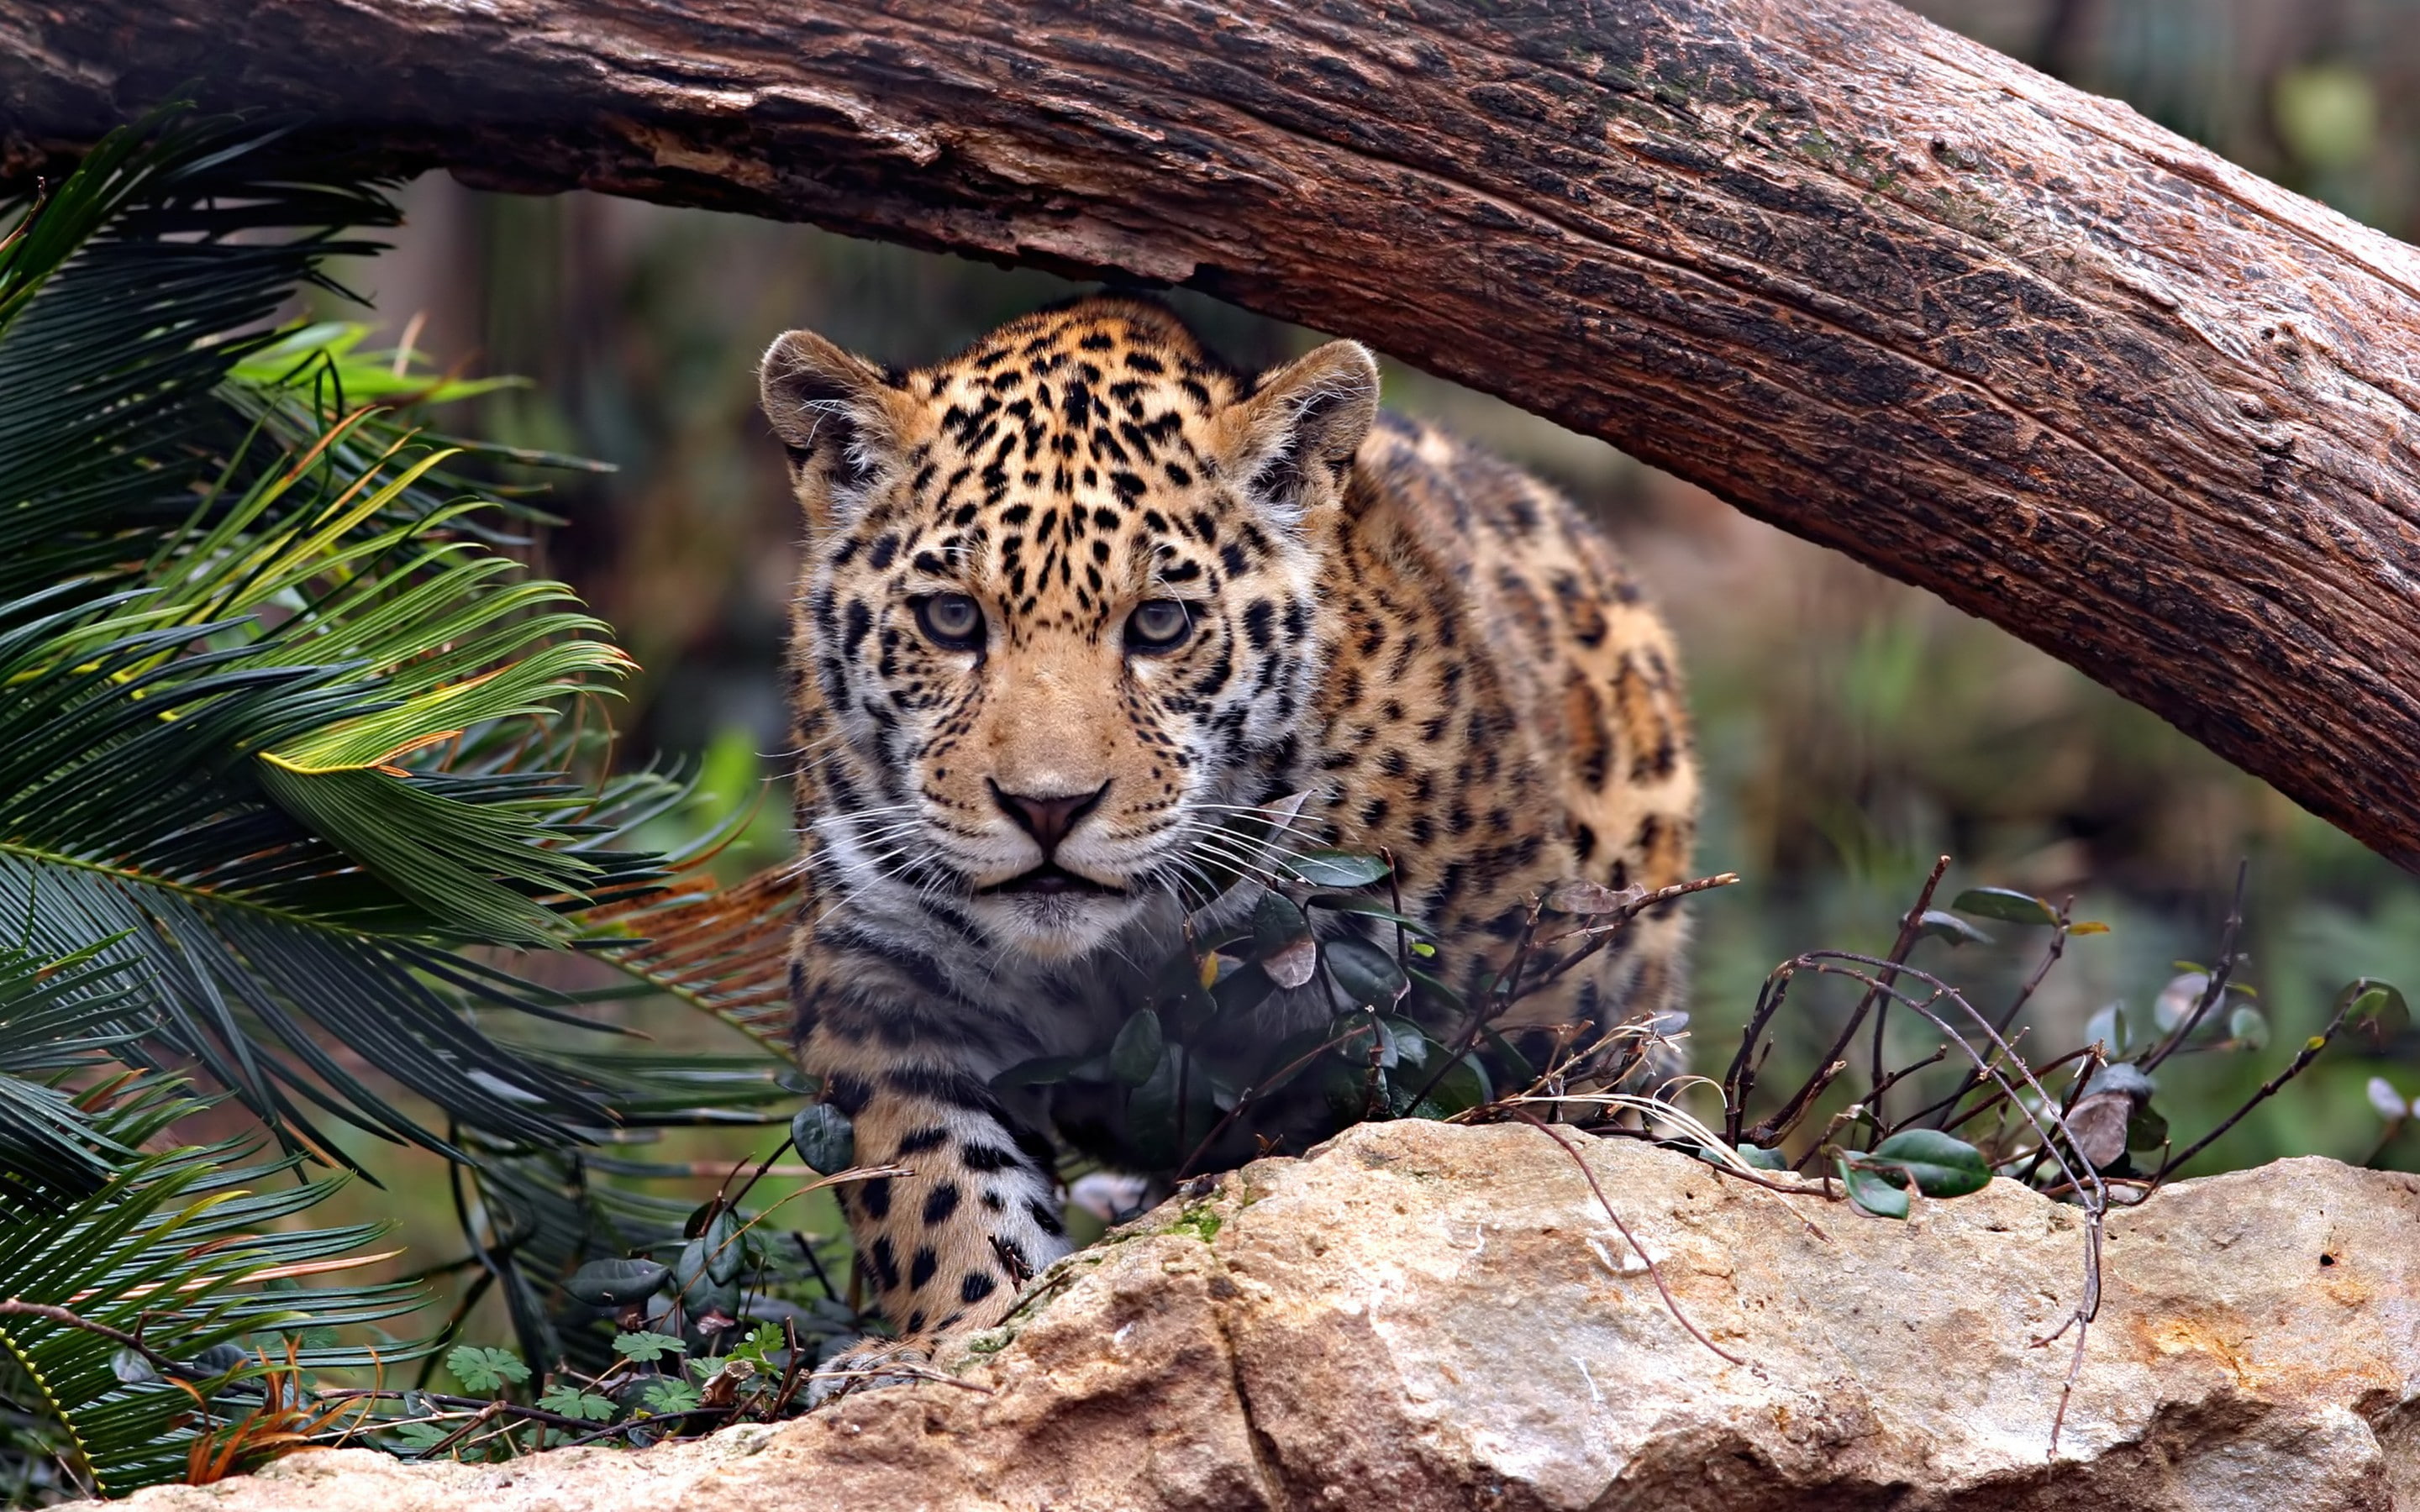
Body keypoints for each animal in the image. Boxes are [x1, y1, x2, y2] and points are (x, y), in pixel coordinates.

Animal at [757, 295, 1698, 1381]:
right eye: (952, 619)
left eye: (1161, 625)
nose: (1047, 808)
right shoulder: (879, 975)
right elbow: (933, 1185)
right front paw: (957, 1339)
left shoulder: (1522, 1006)